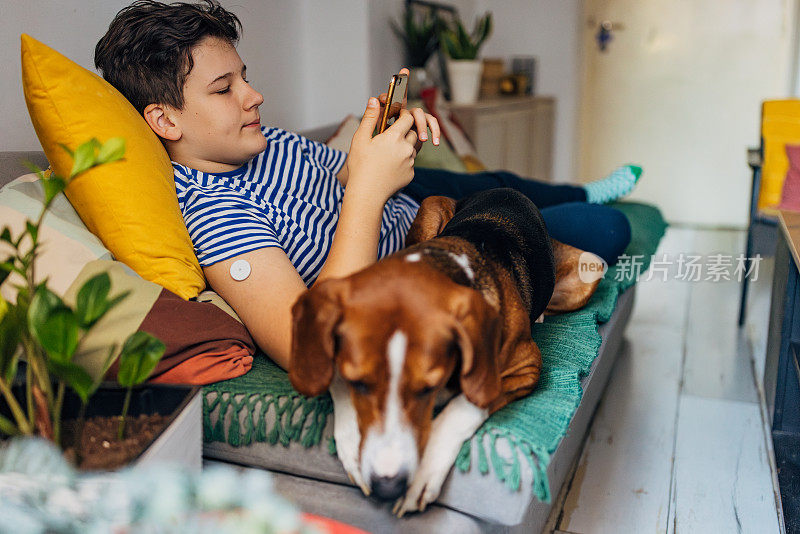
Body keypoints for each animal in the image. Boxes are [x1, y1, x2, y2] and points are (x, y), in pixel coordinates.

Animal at [290, 189, 600, 520]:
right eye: (358, 384)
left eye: (427, 388)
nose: (387, 486)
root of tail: (509, 191)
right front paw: (351, 444)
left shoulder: (525, 367)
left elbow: (463, 408)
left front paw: (424, 473)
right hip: (431, 205)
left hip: (591, 268)